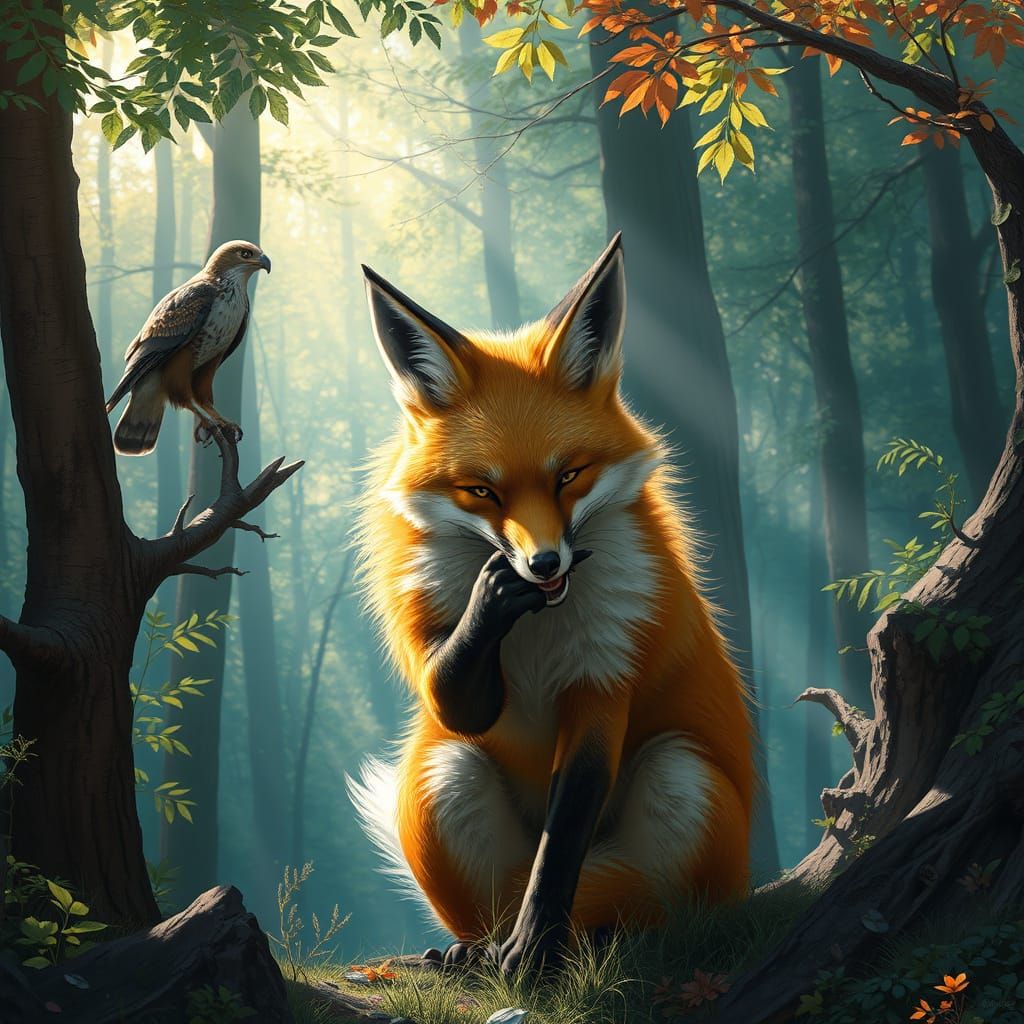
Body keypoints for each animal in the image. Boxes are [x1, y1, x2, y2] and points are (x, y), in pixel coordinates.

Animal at [347, 234, 753, 976]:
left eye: (570, 475)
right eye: (482, 492)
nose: (542, 564)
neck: (538, 633)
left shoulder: (604, 683)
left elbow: (560, 843)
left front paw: (535, 947)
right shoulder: (432, 639)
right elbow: (458, 701)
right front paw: (489, 599)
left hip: (682, 775)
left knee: (654, 909)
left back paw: (602, 939)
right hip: (443, 777)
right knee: (488, 897)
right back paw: (472, 952)